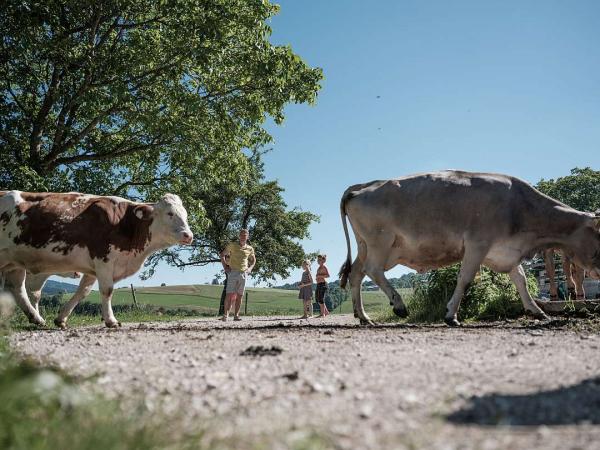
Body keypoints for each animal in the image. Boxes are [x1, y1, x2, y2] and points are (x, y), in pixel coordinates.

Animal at [0, 190, 192, 326]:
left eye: (186, 214)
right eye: (170, 213)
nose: (188, 235)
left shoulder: (93, 268)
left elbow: (82, 292)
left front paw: (61, 319)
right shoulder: (104, 259)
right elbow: (107, 290)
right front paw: (111, 321)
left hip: (14, 262)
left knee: (17, 289)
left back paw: (36, 319)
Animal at [340, 171, 600, 326]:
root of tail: (363, 186)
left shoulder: (505, 252)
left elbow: (521, 280)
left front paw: (536, 310)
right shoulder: (477, 244)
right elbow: (465, 279)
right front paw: (451, 315)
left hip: (367, 245)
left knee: (356, 274)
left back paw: (363, 317)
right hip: (381, 242)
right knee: (373, 270)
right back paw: (399, 305)